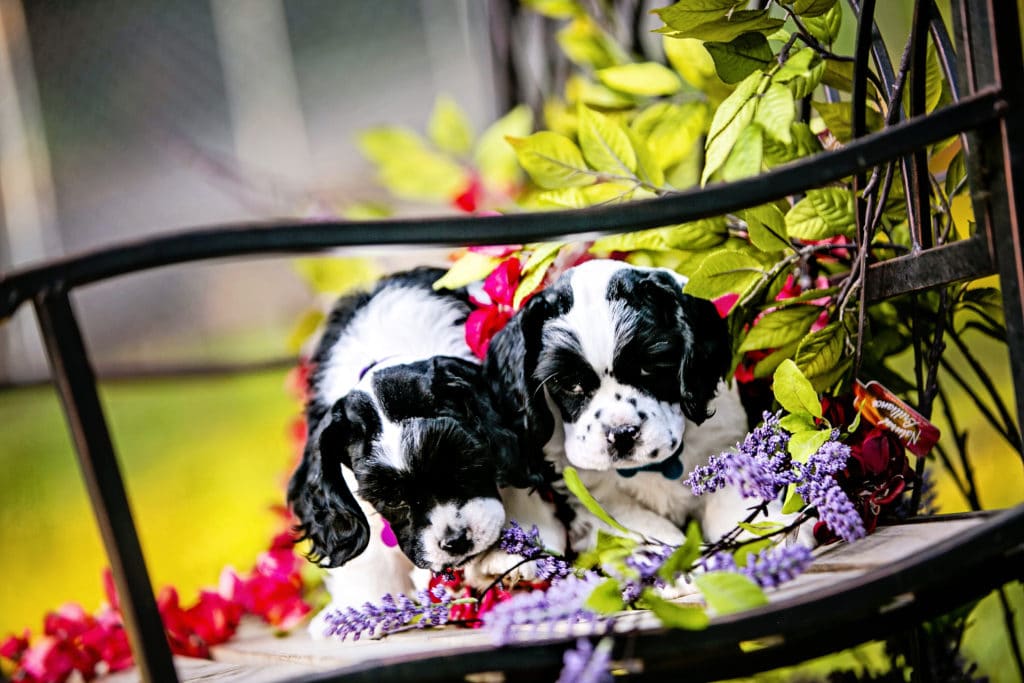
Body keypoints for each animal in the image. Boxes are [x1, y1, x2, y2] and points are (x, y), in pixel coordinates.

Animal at [483, 259, 757, 552]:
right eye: (570, 383)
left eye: (649, 367)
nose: (622, 435)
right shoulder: (595, 502)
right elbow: (647, 529)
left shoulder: (721, 446)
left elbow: (733, 502)